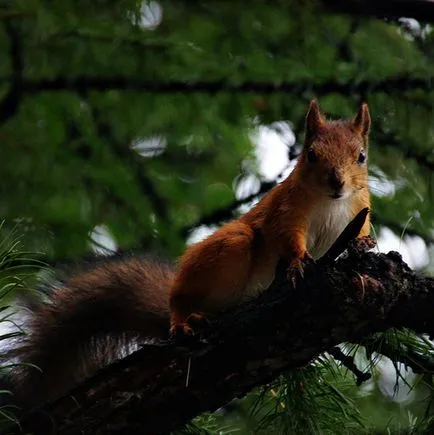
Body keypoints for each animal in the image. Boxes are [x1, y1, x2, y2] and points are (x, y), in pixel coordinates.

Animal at [2, 101, 370, 408]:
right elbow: (288, 238)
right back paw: (182, 320)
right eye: (311, 155)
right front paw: (297, 264)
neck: (330, 204)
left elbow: (360, 232)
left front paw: (364, 247)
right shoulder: (285, 211)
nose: (337, 182)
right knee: (180, 296)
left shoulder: (358, 208)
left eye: (362, 156)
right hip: (232, 245)